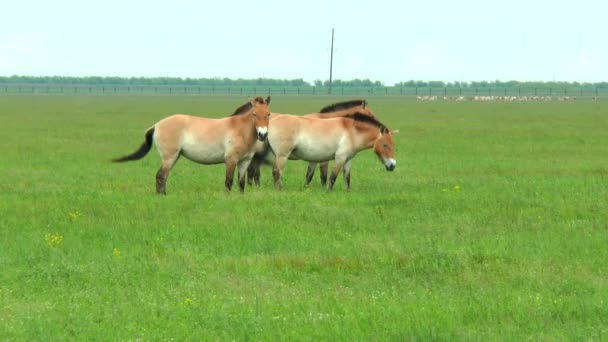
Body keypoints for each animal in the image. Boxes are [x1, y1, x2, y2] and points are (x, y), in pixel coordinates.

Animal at [111, 95, 270, 195]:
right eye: (254, 114)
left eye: (268, 114)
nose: (263, 134)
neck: (239, 129)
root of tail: (157, 125)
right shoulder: (231, 160)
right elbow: (229, 181)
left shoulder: (245, 161)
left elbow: (241, 182)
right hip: (169, 157)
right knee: (160, 176)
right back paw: (162, 196)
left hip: (174, 157)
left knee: (164, 177)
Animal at [268, 113, 396, 191]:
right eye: (385, 145)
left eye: (393, 145)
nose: (392, 165)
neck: (352, 131)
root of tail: (271, 121)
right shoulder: (340, 158)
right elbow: (333, 177)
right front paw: (328, 191)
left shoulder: (348, 160)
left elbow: (347, 178)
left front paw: (348, 191)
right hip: (282, 156)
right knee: (277, 172)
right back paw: (279, 190)